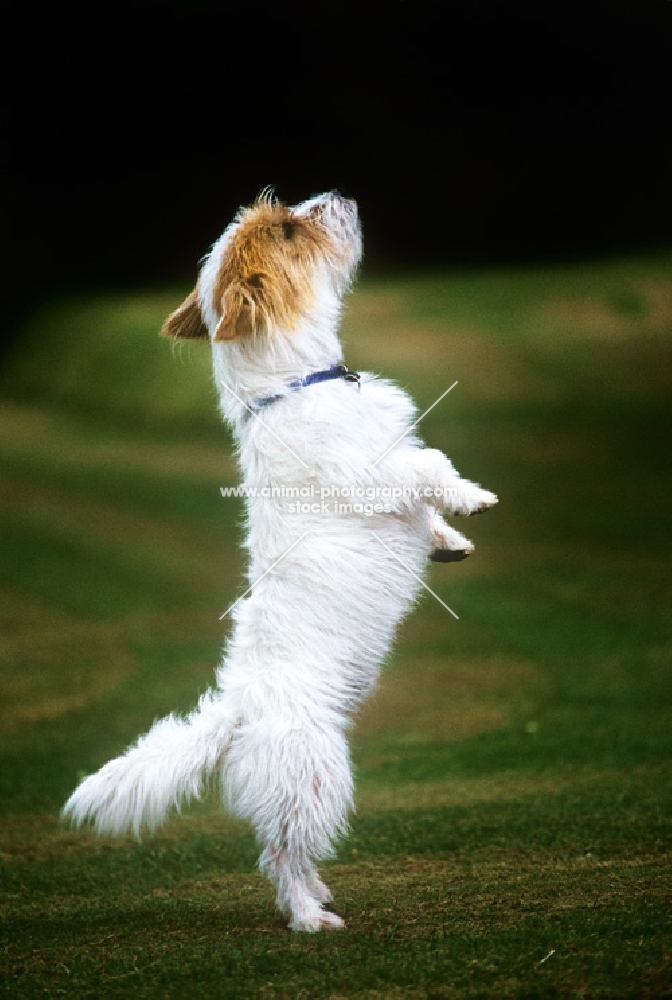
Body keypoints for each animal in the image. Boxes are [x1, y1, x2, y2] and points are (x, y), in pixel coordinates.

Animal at [60, 189, 496, 928]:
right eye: (291, 229)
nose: (337, 195)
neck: (296, 383)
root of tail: (234, 713)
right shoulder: (375, 472)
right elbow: (432, 466)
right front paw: (473, 500)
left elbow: (425, 498)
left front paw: (449, 541)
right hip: (313, 770)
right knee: (280, 852)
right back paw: (309, 916)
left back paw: (318, 895)